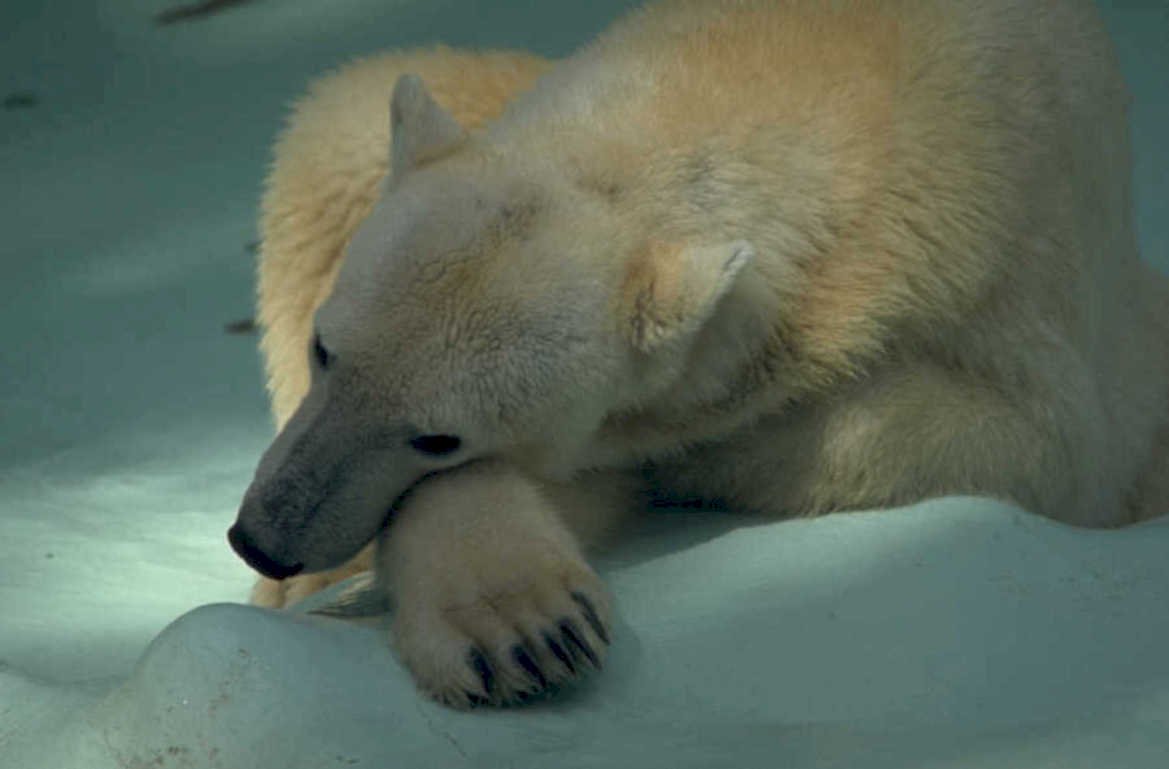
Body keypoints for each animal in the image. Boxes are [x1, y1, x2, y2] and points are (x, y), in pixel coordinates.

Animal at [231, 0, 1169, 709]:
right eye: (325, 349)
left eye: (438, 436)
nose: (262, 539)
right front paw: (520, 628)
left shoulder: (1023, 271)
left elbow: (1033, 440)